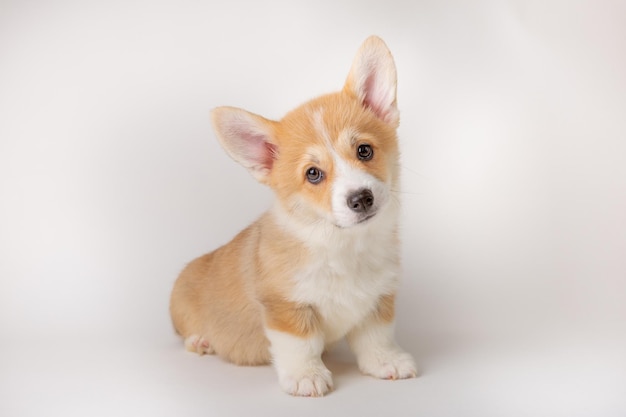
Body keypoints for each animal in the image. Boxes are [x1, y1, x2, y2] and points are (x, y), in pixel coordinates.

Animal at [168, 34, 416, 394]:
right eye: (313, 174)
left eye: (364, 150)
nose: (361, 198)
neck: (342, 245)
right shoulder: (285, 307)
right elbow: (301, 344)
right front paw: (306, 376)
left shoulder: (378, 299)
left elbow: (376, 337)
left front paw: (387, 361)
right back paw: (201, 341)